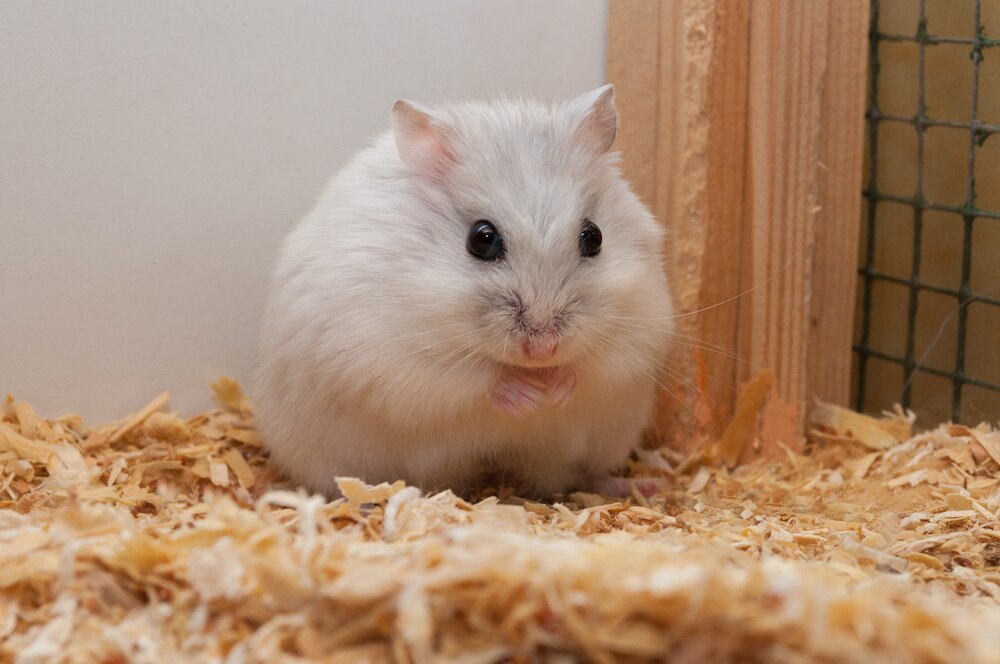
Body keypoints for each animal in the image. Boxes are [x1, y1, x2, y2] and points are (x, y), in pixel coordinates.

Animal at [253, 85, 674, 497]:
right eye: (481, 239)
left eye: (594, 236)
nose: (542, 350)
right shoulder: (384, 355)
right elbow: (469, 379)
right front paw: (528, 395)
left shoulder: (640, 327)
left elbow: (592, 367)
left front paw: (555, 389)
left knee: (584, 475)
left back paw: (644, 486)